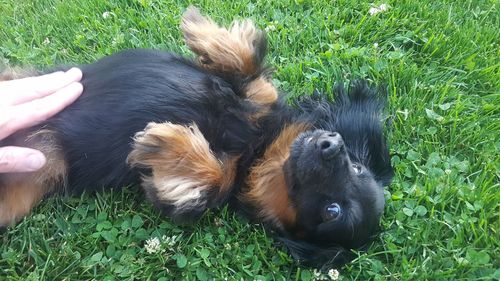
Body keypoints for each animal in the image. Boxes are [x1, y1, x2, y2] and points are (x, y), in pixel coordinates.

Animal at [0, 7, 394, 266]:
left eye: (333, 211)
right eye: (357, 166)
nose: (332, 144)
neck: (255, 148)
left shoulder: (194, 196)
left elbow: (211, 180)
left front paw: (169, 143)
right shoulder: (256, 102)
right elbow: (255, 78)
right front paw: (208, 35)